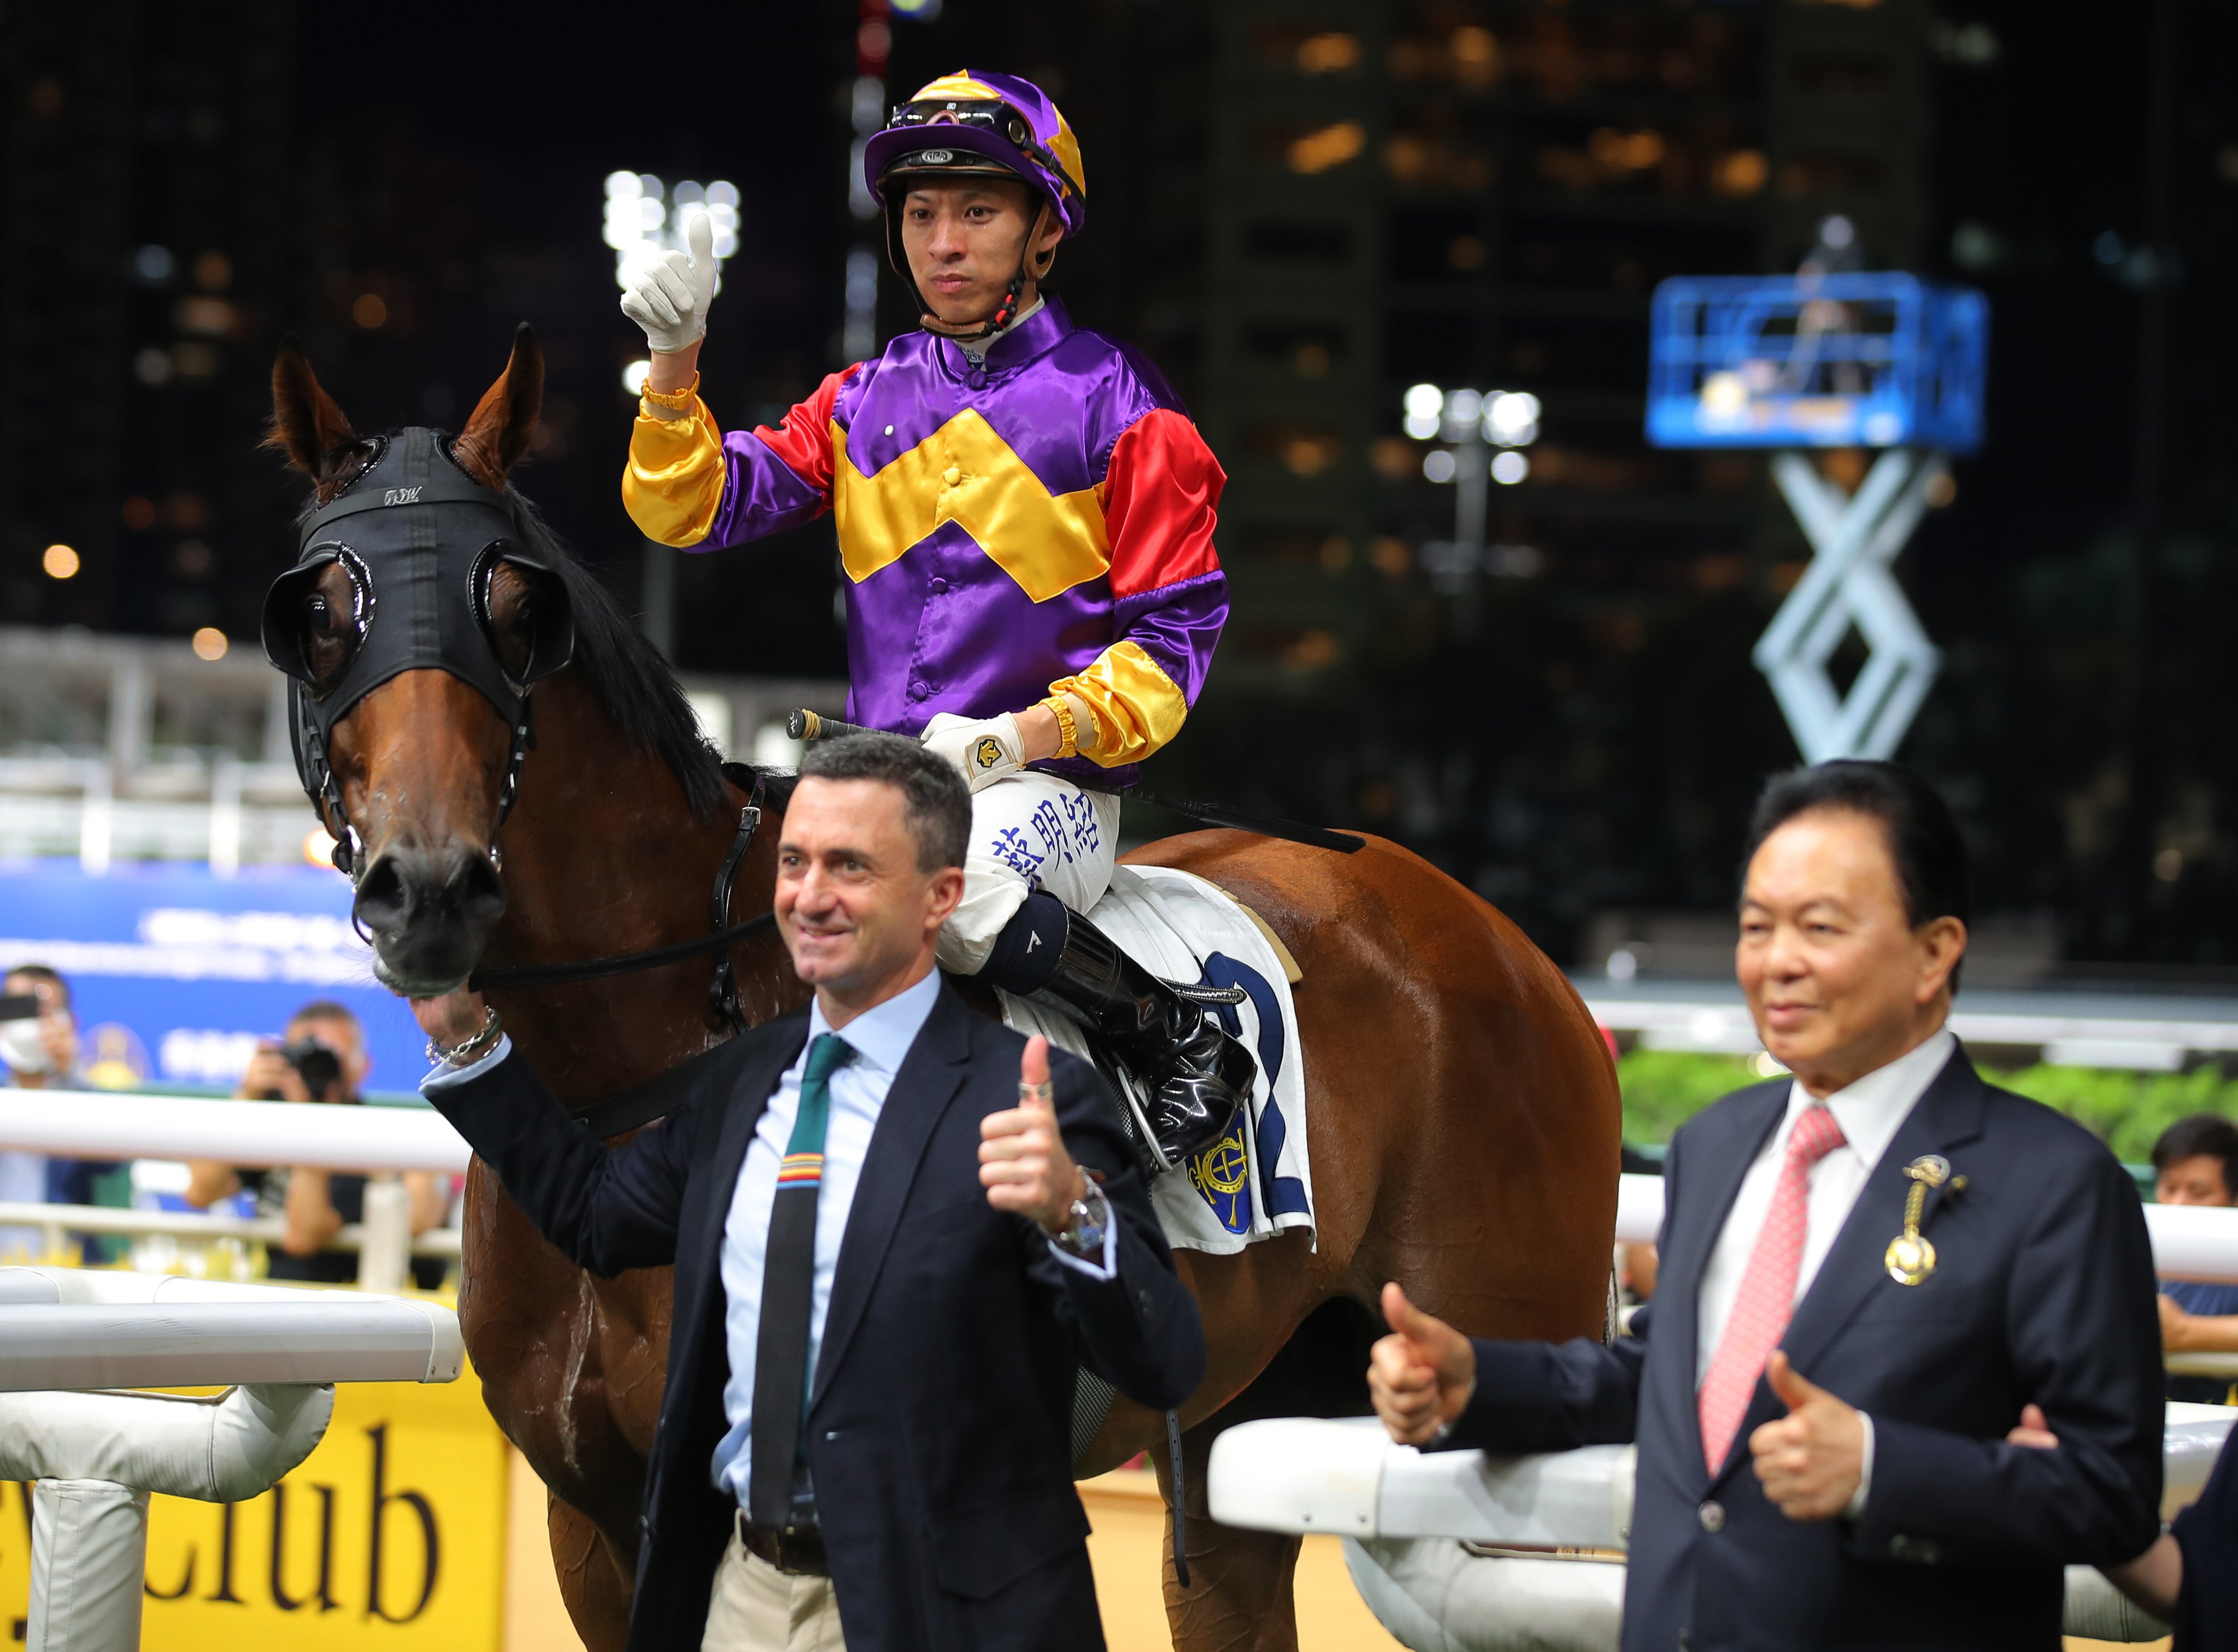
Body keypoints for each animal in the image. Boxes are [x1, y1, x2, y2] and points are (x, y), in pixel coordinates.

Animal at [266, 324, 1629, 1647]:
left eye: (515, 609)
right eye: (320, 613)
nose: (429, 885)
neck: (624, 1071)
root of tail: (1520, 957)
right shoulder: (592, 1526)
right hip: (1253, 1407)